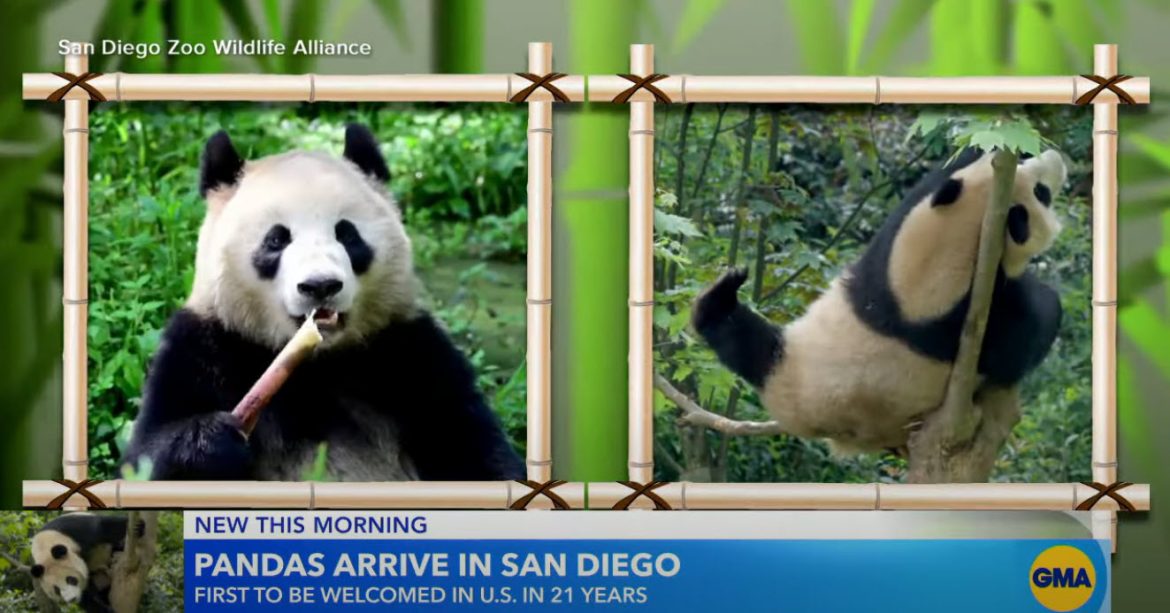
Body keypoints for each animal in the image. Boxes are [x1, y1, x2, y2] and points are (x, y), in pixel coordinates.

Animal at [121, 124, 525, 481]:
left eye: (347, 233)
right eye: (276, 239)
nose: (320, 286)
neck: (317, 364)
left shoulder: (410, 351)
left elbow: (473, 449)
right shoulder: (206, 344)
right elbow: (145, 456)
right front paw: (217, 440)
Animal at [692, 147, 1068, 454]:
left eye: (1028, 166)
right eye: (1042, 193)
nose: (1055, 159)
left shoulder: (887, 256)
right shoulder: (966, 315)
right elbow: (1029, 330)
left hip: (786, 361)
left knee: (743, 341)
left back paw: (719, 298)